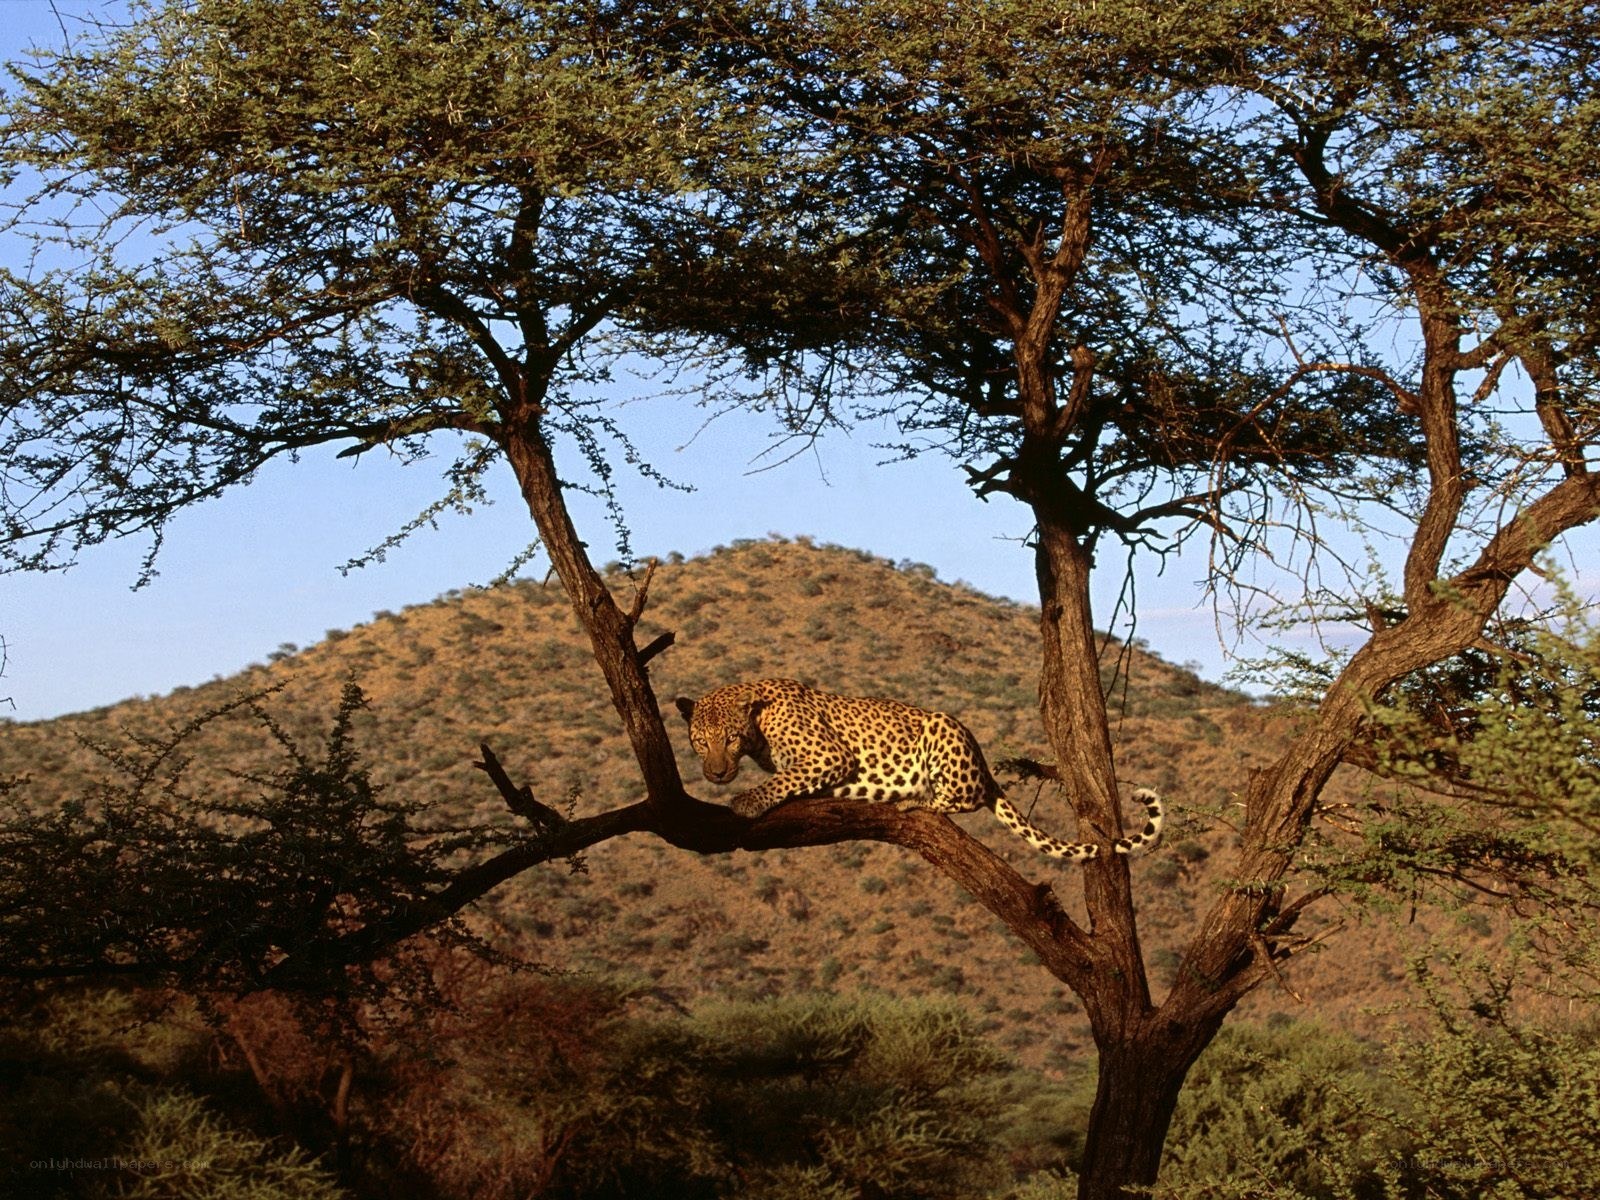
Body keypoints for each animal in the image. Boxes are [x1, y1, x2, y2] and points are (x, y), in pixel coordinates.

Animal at [674, 678, 1163, 861]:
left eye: (730, 739)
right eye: (700, 741)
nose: (716, 773)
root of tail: (981, 758)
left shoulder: (829, 756)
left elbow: (783, 777)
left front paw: (745, 801)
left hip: (942, 731)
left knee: (965, 798)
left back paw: (917, 799)